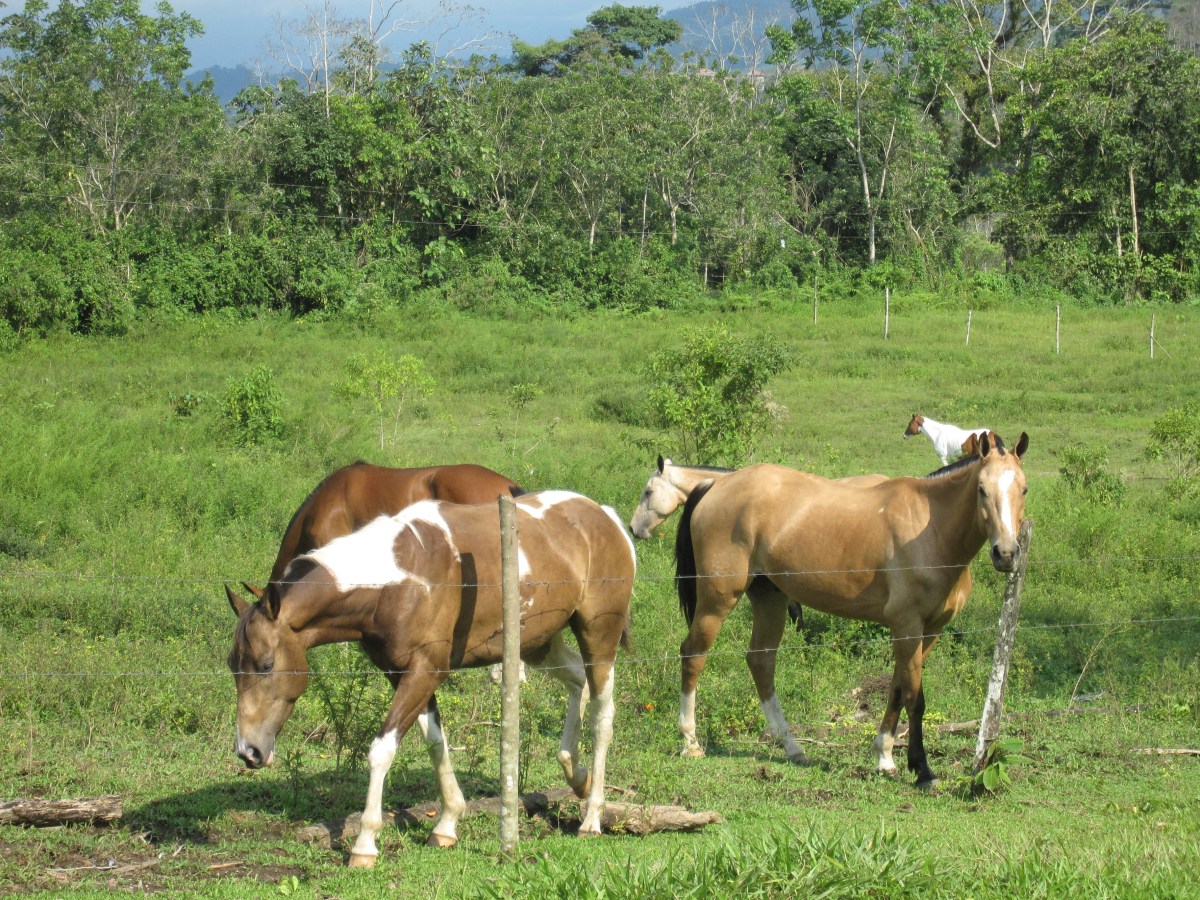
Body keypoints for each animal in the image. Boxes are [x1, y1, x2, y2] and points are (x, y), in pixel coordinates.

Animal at [227, 491, 636, 868]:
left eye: (266, 664)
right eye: (233, 664)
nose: (249, 751)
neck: (398, 579)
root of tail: (606, 517)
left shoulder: (425, 670)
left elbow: (382, 750)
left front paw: (365, 844)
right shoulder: (402, 675)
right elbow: (436, 742)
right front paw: (447, 823)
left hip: (598, 637)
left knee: (602, 716)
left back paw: (592, 817)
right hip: (540, 644)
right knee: (577, 682)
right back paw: (576, 774)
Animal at [673, 431, 1028, 787]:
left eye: (1023, 489)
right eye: (981, 489)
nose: (1006, 553)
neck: (931, 530)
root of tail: (715, 485)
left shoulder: (930, 630)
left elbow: (897, 689)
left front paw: (884, 756)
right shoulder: (907, 626)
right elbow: (914, 698)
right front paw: (922, 770)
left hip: (769, 599)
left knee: (761, 662)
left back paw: (792, 747)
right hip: (717, 600)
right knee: (693, 654)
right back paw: (690, 742)